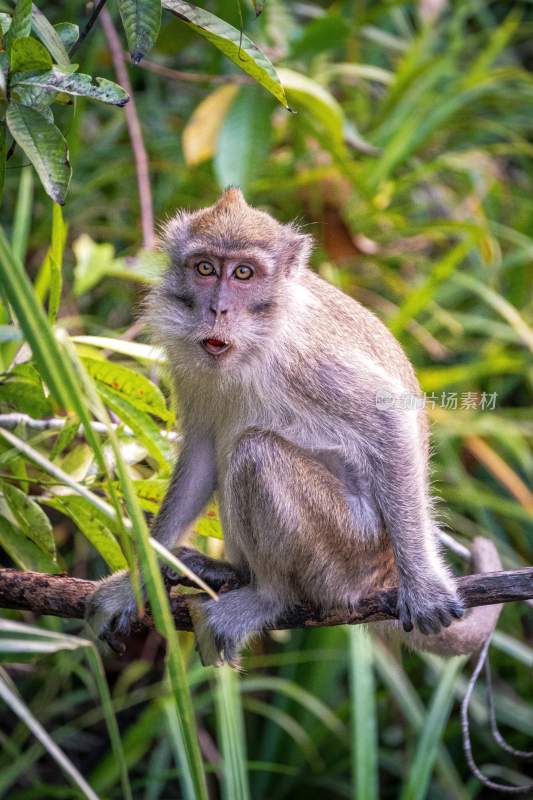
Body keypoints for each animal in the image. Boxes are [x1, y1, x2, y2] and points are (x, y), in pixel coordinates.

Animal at [89, 189, 500, 668]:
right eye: (205, 268)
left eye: (243, 273)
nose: (217, 308)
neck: (255, 342)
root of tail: (380, 574)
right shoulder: (190, 364)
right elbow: (201, 456)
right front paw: (138, 581)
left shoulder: (303, 356)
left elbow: (389, 420)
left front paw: (423, 586)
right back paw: (232, 572)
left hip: (349, 553)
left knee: (256, 453)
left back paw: (270, 595)